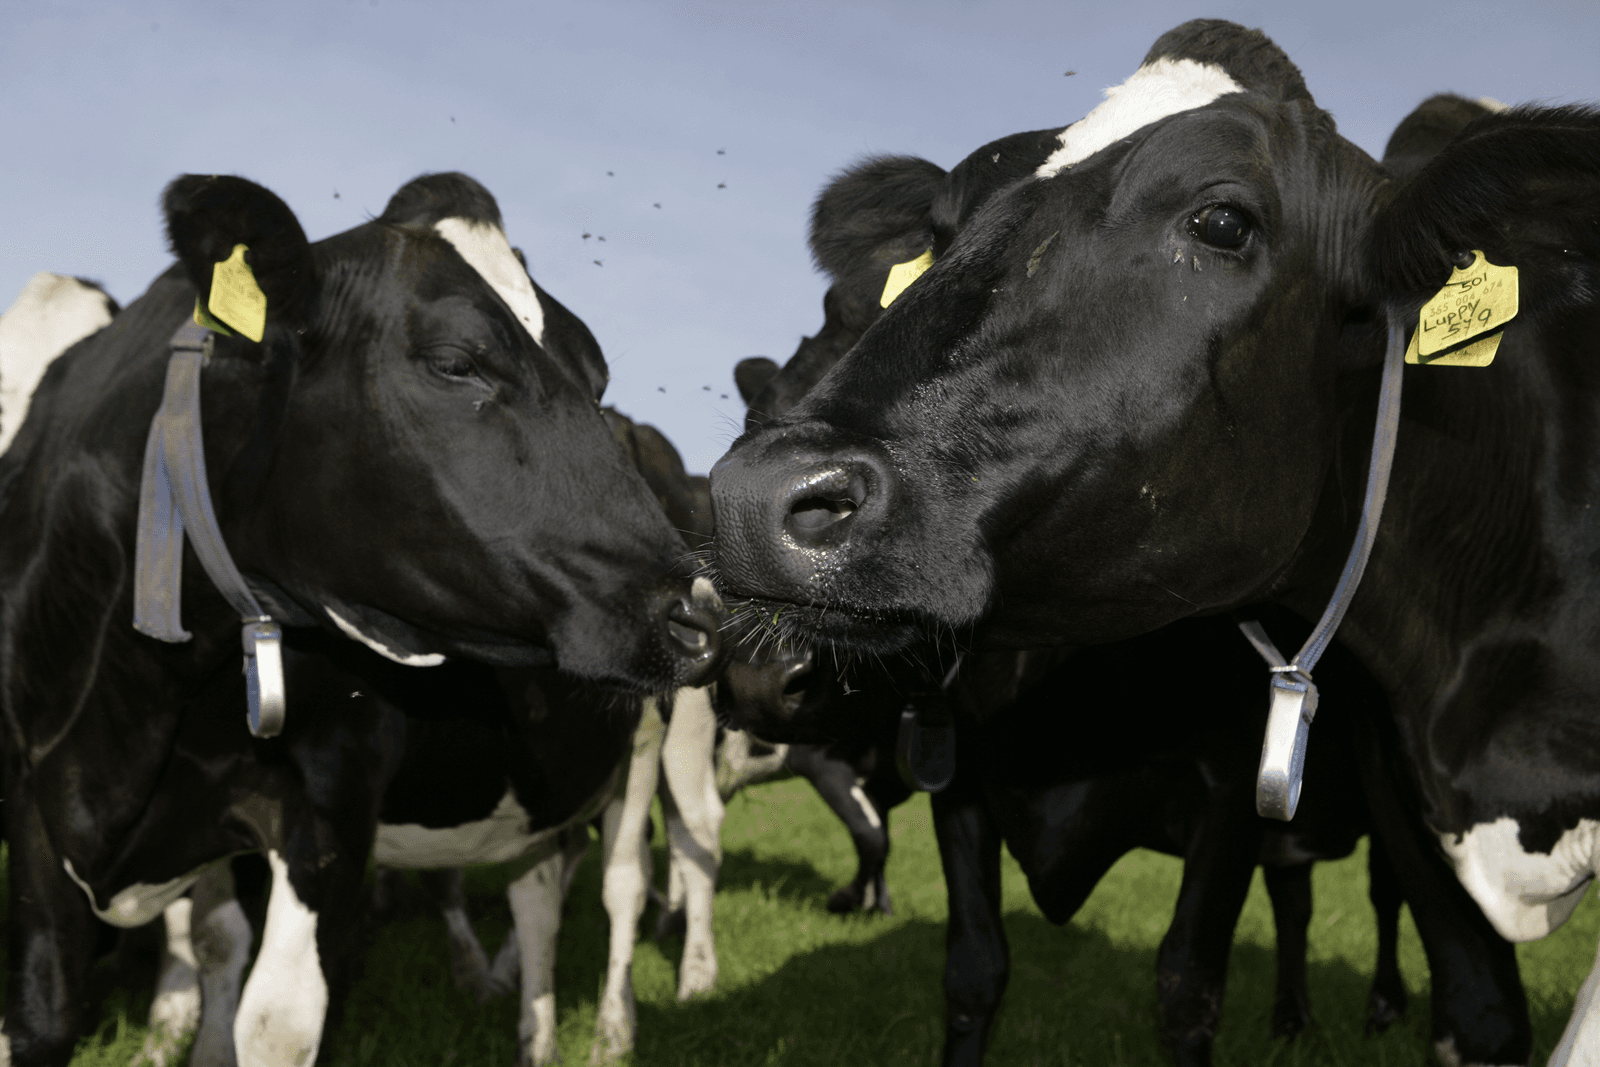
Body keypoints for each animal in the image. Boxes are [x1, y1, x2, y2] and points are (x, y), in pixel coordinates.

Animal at [0, 170, 723, 1067]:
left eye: (596, 380)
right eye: (455, 363)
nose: (694, 613)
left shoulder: (329, 803)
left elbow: (276, 1021)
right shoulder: (34, 814)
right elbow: (63, 1004)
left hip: (664, 736)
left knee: (643, 870)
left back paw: (631, 1019)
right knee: (540, 888)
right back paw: (536, 1029)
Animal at [711, 17, 1600, 1065]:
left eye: (1222, 222)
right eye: (935, 236)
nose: (755, 499)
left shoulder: (1230, 791)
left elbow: (1186, 986)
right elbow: (973, 973)